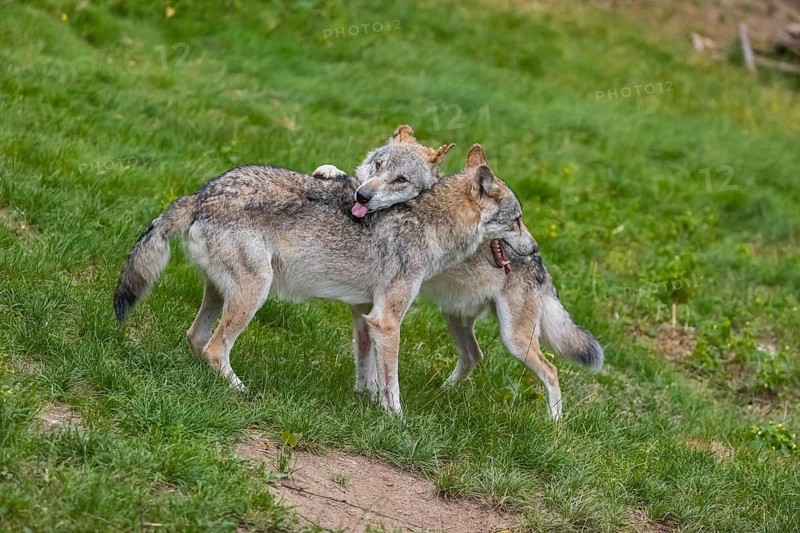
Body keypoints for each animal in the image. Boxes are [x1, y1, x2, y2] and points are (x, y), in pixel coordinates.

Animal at [113, 136, 537, 415]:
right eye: (517, 221)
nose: (535, 251)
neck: (430, 223)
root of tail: (201, 195)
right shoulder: (387, 320)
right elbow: (393, 384)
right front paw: (397, 421)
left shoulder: (364, 312)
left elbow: (368, 370)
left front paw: (365, 401)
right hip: (255, 293)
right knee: (215, 349)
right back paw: (242, 391)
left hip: (222, 294)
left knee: (197, 339)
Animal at [313, 127, 602, 419]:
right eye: (378, 165)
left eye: (401, 179)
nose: (362, 196)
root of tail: (541, 265)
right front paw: (329, 171)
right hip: (455, 316)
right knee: (474, 355)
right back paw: (443, 391)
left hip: (515, 340)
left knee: (550, 370)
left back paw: (554, 423)